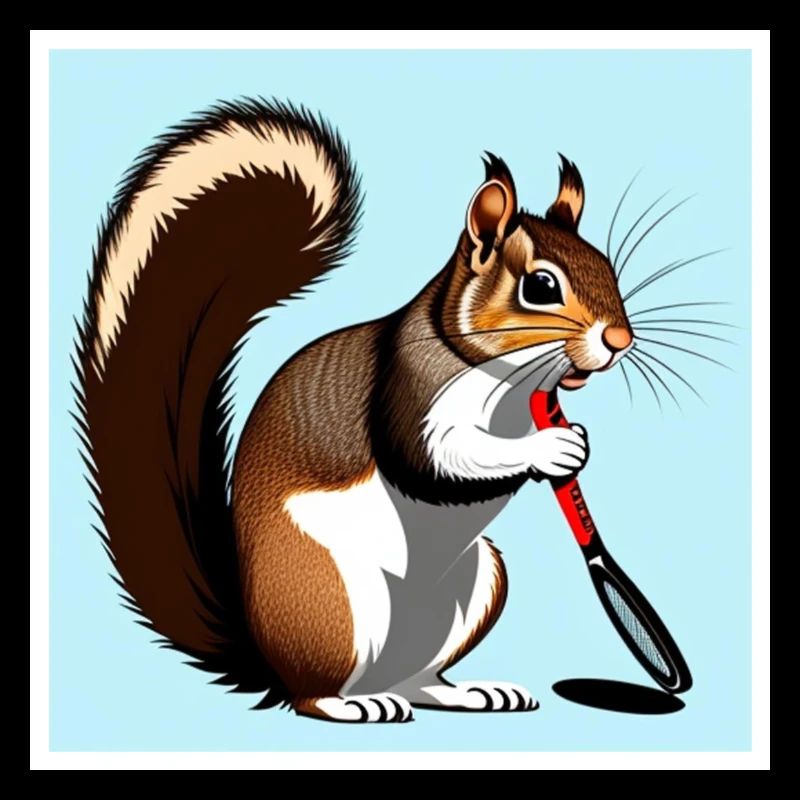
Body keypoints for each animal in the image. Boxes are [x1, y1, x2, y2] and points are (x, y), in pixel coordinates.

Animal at [76, 98, 633, 723]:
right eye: (540, 286)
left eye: (607, 267)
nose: (620, 339)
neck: (508, 381)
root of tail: (264, 656)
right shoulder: (410, 394)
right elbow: (437, 460)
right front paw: (551, 447)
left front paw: (571, 441)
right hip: (333, 599)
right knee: (310, 695)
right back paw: (353, 705)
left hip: (477, 583)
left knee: (419, 679)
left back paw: (466, 692)